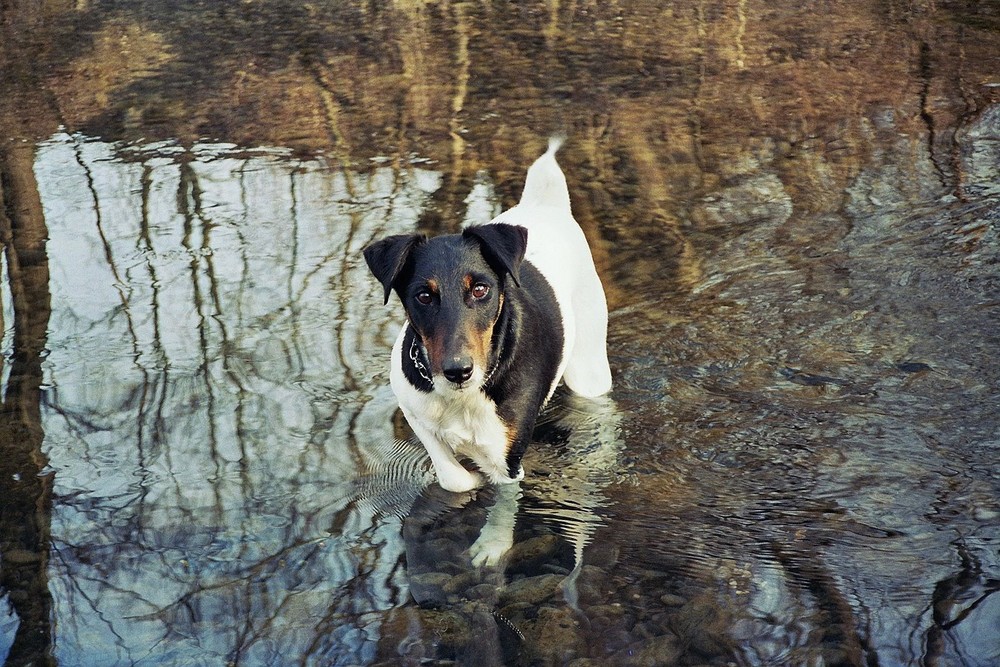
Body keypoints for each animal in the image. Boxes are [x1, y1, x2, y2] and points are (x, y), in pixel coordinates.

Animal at [362, 138, 608, 494]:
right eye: (423, 296)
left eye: (480, 289)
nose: (458, 371)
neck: (462, 397)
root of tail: (548, 207)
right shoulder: (419, 418)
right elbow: (454, 478)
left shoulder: (507, 464)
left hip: (590, 369)